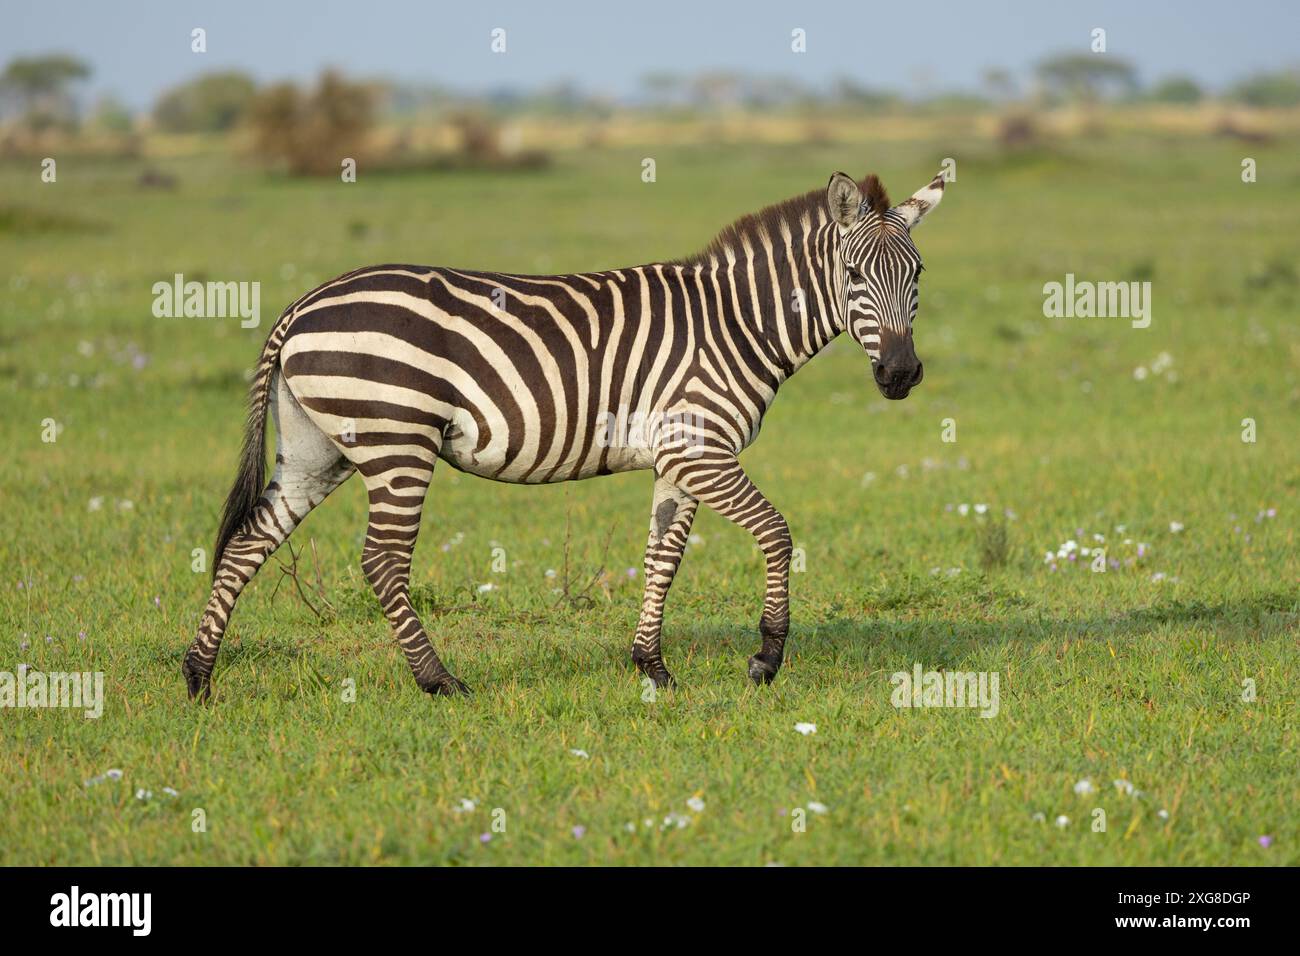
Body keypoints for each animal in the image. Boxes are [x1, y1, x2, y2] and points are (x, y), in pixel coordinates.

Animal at [183, 168, 948, 701]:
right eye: (854, 274)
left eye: (917, 274)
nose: (901, 375)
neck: (736, 323)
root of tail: (301, 305)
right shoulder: (702, 451)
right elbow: (777, 533)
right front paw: (766, 658)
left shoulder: (678, 459)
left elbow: (662, 557)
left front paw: (652, 668)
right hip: (397, 443)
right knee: (381, 562)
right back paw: (438, 681)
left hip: (318, 450)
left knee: (247, 543)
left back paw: (199, 677)